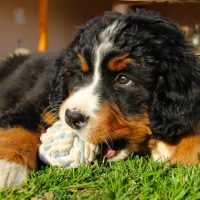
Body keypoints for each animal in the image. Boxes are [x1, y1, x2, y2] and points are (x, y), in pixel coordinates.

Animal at [0, 9, 200, 188]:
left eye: (123, 79)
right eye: (81, 73)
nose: (72, 117)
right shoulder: (39, 101)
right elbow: (18, 128)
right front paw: (7, 166)